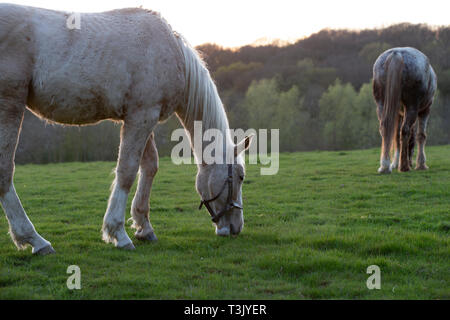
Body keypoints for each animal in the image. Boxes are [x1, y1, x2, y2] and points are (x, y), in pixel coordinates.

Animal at [0, 4, 253, 255]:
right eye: (240, 176)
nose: (236, 227)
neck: (171, 50)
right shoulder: (141, 117)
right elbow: (127, 172)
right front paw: (118, 233)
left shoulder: (143, 117)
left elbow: (149, 167)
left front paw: (144, 227)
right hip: (9, 106)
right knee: (5, 171)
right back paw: (34, 239)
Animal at [372, 46, 436, 174]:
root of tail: (397, 53)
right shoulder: (425, 110)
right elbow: (421, 135)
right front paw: (421, 164)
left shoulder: (398, 113)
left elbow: (396, 137)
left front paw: (395, 163)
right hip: (412, 107)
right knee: (405, 130)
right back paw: (404, 167)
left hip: (381, 105)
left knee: (385, 129)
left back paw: (385, 166)